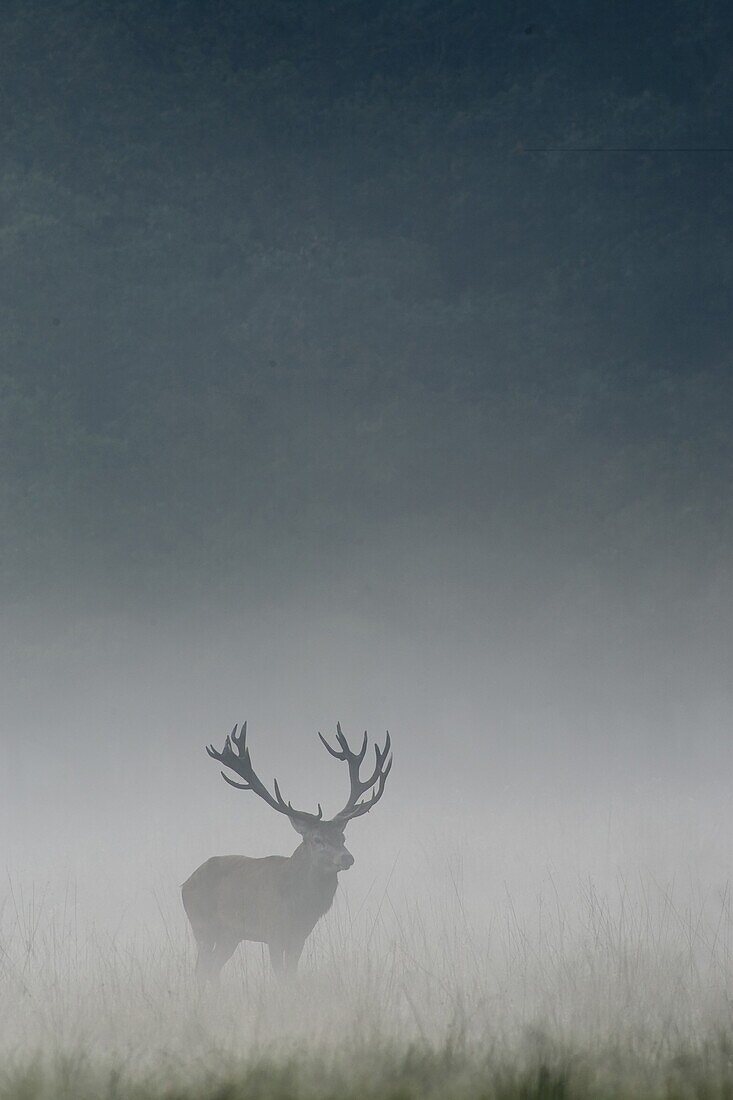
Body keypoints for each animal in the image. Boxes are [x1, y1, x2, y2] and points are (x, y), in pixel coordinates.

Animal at [180, 721, 391, 981]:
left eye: (342, 837)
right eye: (317, 839)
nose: (347, 857)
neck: (299, 905)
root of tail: (185, 883)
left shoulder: (300, 936)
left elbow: (291, 974)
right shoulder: (273, 931)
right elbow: (280, 975)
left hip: (230, 935)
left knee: (212, 969)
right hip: (202, 925)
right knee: (201, 969)